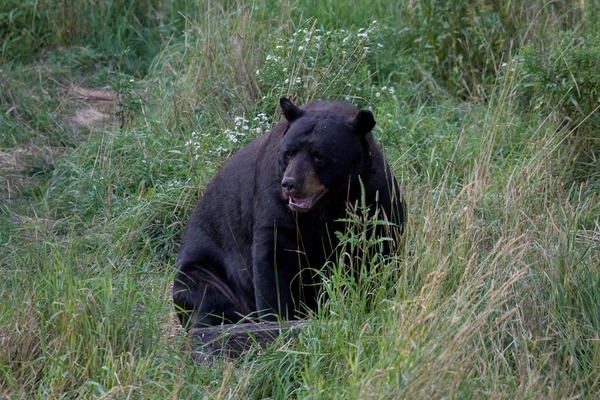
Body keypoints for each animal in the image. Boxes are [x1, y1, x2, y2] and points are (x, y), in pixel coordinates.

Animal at [176, 97, 406, 328]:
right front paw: (277, 318)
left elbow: (381, 250)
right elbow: (274, 258)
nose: (290, 184)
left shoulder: (375, 196)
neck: (327, 203)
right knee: (208, 298)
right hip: (206, 273)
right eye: (288, 153)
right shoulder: (274, 200)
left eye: (319, 156)